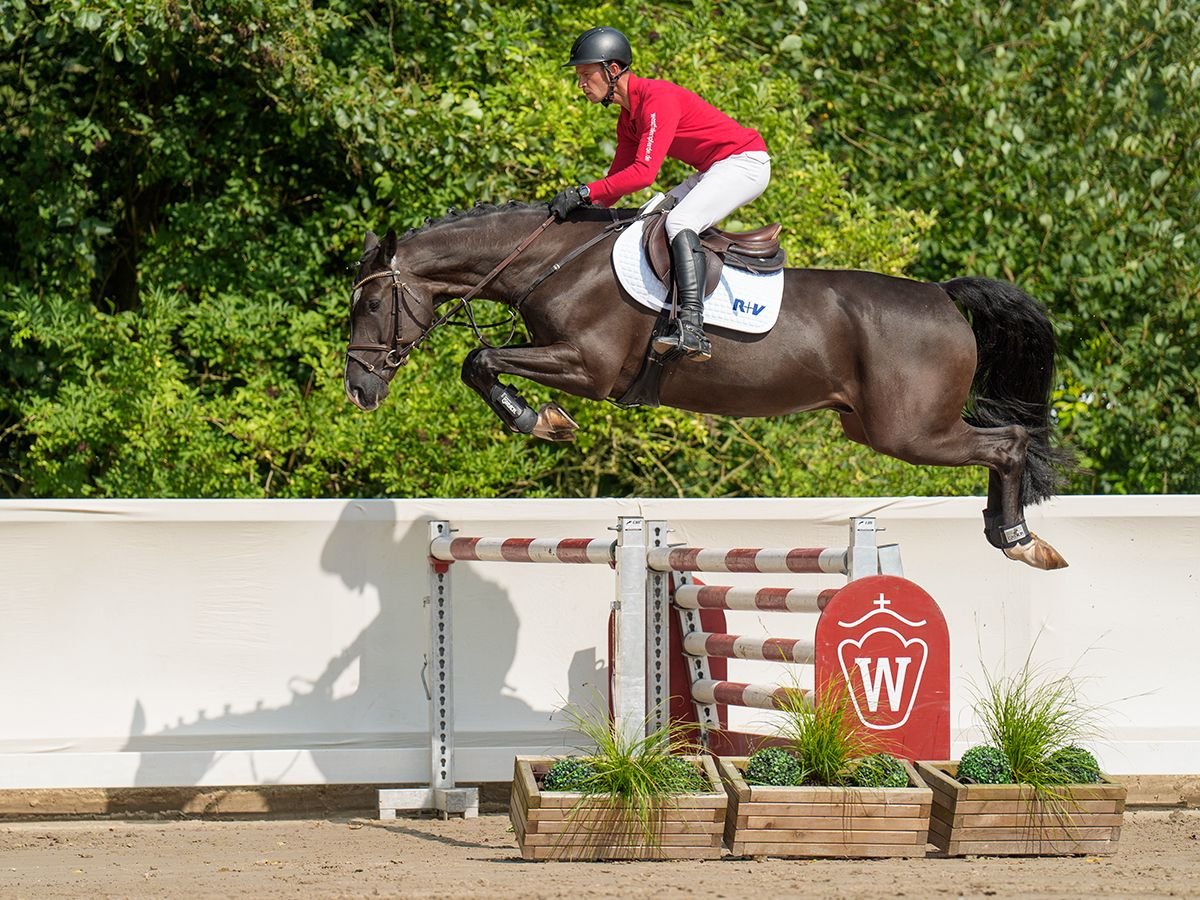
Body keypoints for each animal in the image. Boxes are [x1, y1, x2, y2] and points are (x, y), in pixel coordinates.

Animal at [345, 204, 1070, 571]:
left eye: (372, 305)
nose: (357, 390)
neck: (554, 263)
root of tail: (942, 295)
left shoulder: (587, 366)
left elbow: (478, 358)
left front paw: (541, 420)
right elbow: (481, 361)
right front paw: (542, 419)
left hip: (910, 431)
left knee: (1008, 441)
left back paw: (1019, 541)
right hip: (875, 426)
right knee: (1003, 441)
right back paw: (1011, 535)